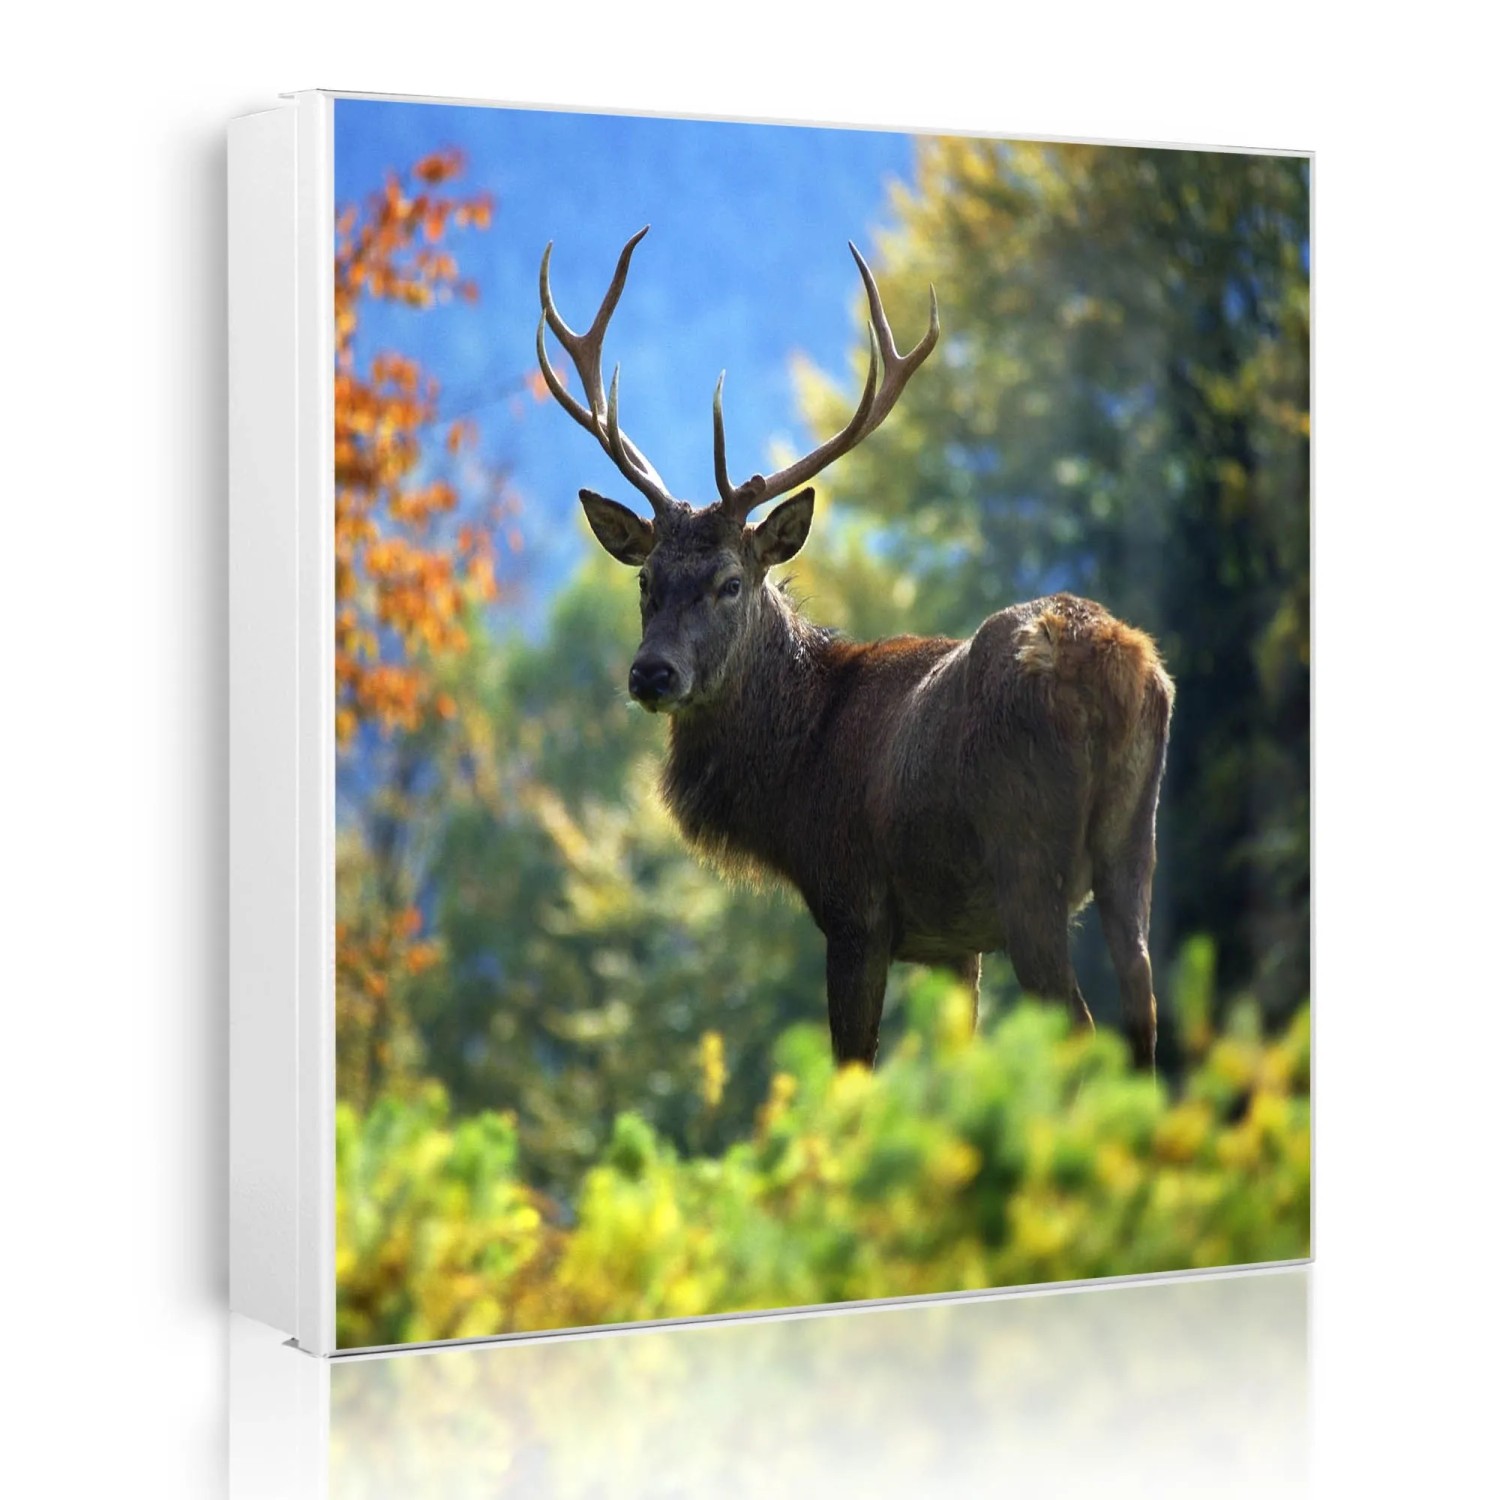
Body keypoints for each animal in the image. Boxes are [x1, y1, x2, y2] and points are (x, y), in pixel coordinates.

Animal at [536, 227, 1174, 1071]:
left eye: (730, 582)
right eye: (645, 580)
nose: (652, 673)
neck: (794, 775)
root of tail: (1118, 663)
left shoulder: (854, 905)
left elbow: (854, 1071)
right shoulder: (954, 942)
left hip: (1026, 857)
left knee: (1082, 1025)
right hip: (1135, 844)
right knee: (1143, 1014)